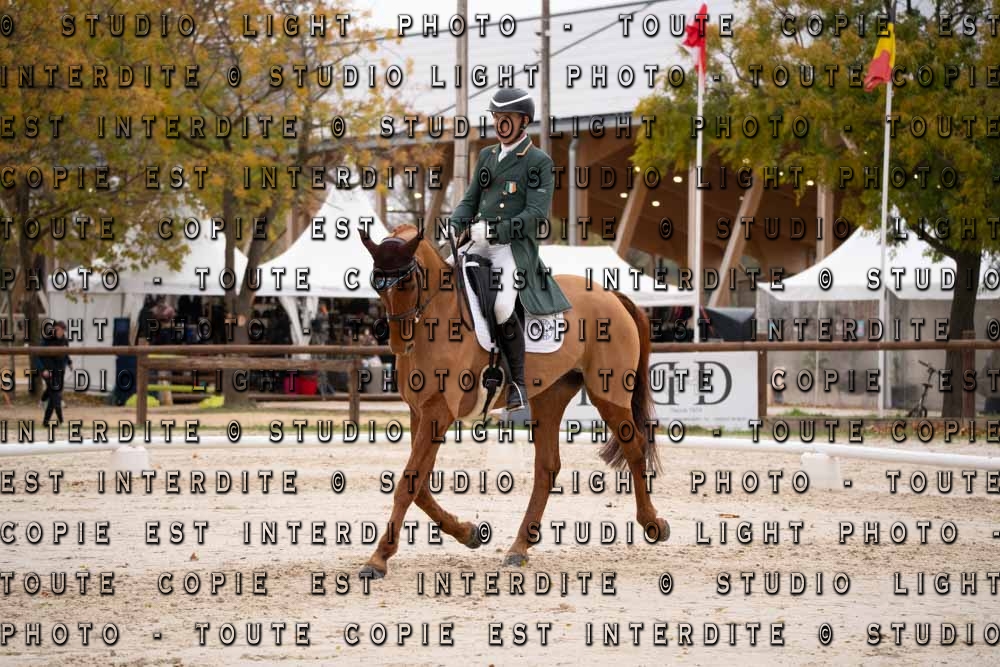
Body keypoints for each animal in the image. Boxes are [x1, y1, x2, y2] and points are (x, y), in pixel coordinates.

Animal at [359, 223, 669, 579]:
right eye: (376, 283)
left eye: (408, 282)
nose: (399, 345)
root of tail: (611, 296)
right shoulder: (418, 411)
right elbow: (420, 486)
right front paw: (469, 533)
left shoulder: (438, 411)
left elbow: (409, 484)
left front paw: (378, 559)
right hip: (551, 395)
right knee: (547, 467)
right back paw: (519, 547)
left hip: (610, 394)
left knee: (635, 449)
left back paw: (653, 524)